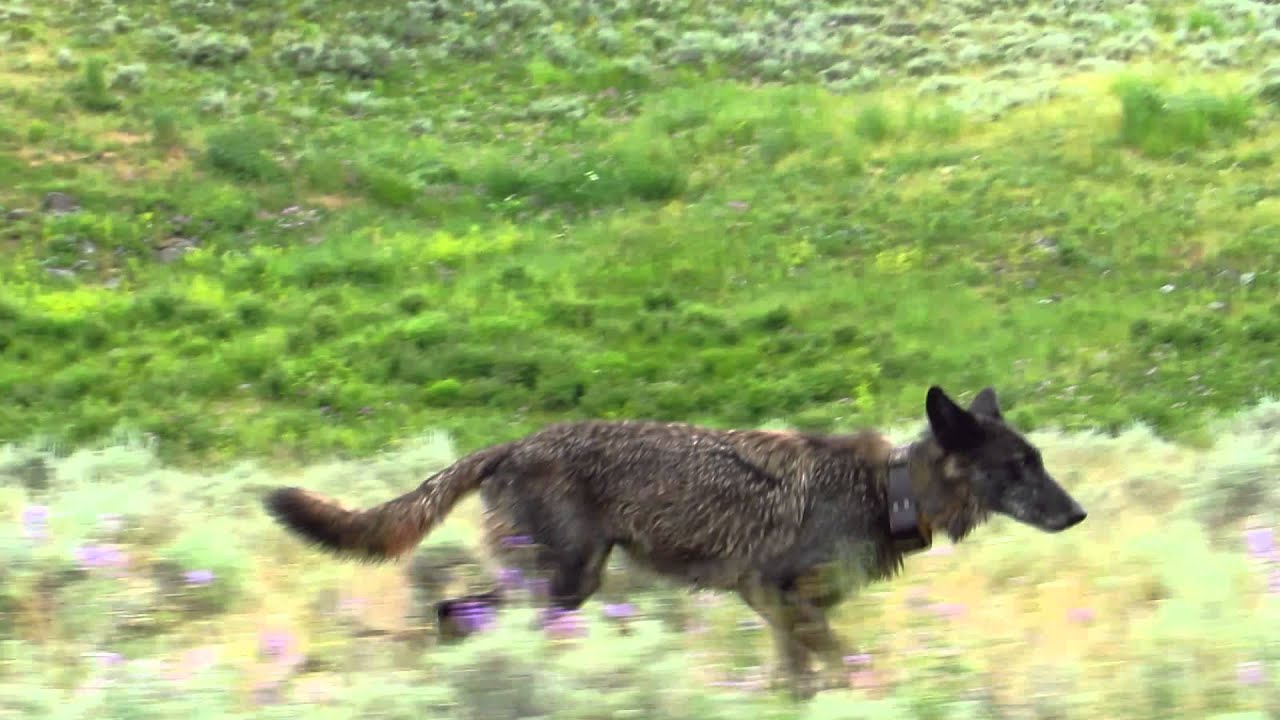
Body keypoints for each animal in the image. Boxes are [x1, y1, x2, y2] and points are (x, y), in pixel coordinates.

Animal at [263, 385, 1086, 697]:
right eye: (1020, 466)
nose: (1077, 515)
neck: (887, 492)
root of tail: (510, 445)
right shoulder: (772, 595)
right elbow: (841, 669)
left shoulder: (782, 613)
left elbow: (800, 680)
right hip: (562, 587)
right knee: (460, 615)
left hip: (568, 585)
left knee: (451, 614)